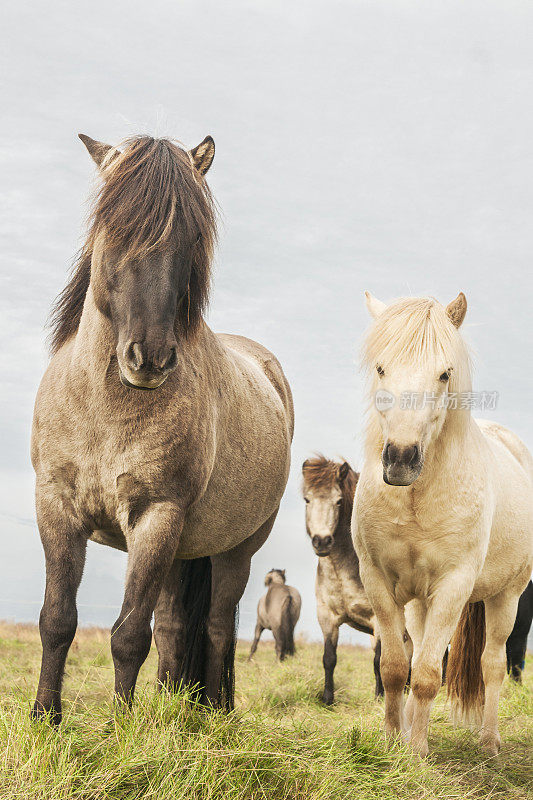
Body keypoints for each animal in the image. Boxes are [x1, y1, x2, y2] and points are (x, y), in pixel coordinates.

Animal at [31, 133, 294, 724]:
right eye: (114, 224)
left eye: (193, 235)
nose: (149, 358)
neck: (104, 411)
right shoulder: (56, 506)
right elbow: (57, 619)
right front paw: (45, 718)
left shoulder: (155, 517)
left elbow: (129, 635)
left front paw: (120, 727)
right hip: (181, 551)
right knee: (176, 627)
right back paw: (173, 707)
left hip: (232, 551)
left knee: (216, 627)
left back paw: (213, 713)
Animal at [300, 454, 374, 704]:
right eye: (307, 500)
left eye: (339, 501)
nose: (322, 541)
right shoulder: (327, 617)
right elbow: (329, 658)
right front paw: (327, 699)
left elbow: (380, 661)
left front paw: (380, 698)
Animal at [354, 290, 532, 752]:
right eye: (381, 367)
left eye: (444, 373)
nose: (400, 458)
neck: (415, 497)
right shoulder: (378, 581)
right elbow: (396, 668)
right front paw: (392, 742)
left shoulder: (454, 586)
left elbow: (429, 676)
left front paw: (417, 752)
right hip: (419, 602)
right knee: (419, 653)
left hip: (505, 597)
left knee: (492, 664)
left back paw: (489, 742)